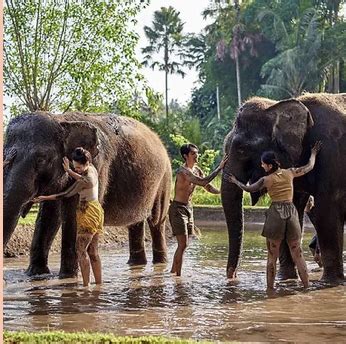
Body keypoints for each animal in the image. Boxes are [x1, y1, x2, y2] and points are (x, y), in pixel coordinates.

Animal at [4, 111, 172, 278]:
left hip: (165, 179)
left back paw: (160, 264)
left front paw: (68, 277)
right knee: (135, 223)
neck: (62, 120)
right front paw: (36, 275)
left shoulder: (98, 165)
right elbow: (49, 215)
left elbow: (74, 211)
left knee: (156, 221)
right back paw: (136, 264)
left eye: (41, 159)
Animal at [222, 92, 346, 284]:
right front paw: (286, 279)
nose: (233, 277)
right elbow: (295, 209)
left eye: (242, 149)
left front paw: (330, 282)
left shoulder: (331, 155)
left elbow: (324, 211)